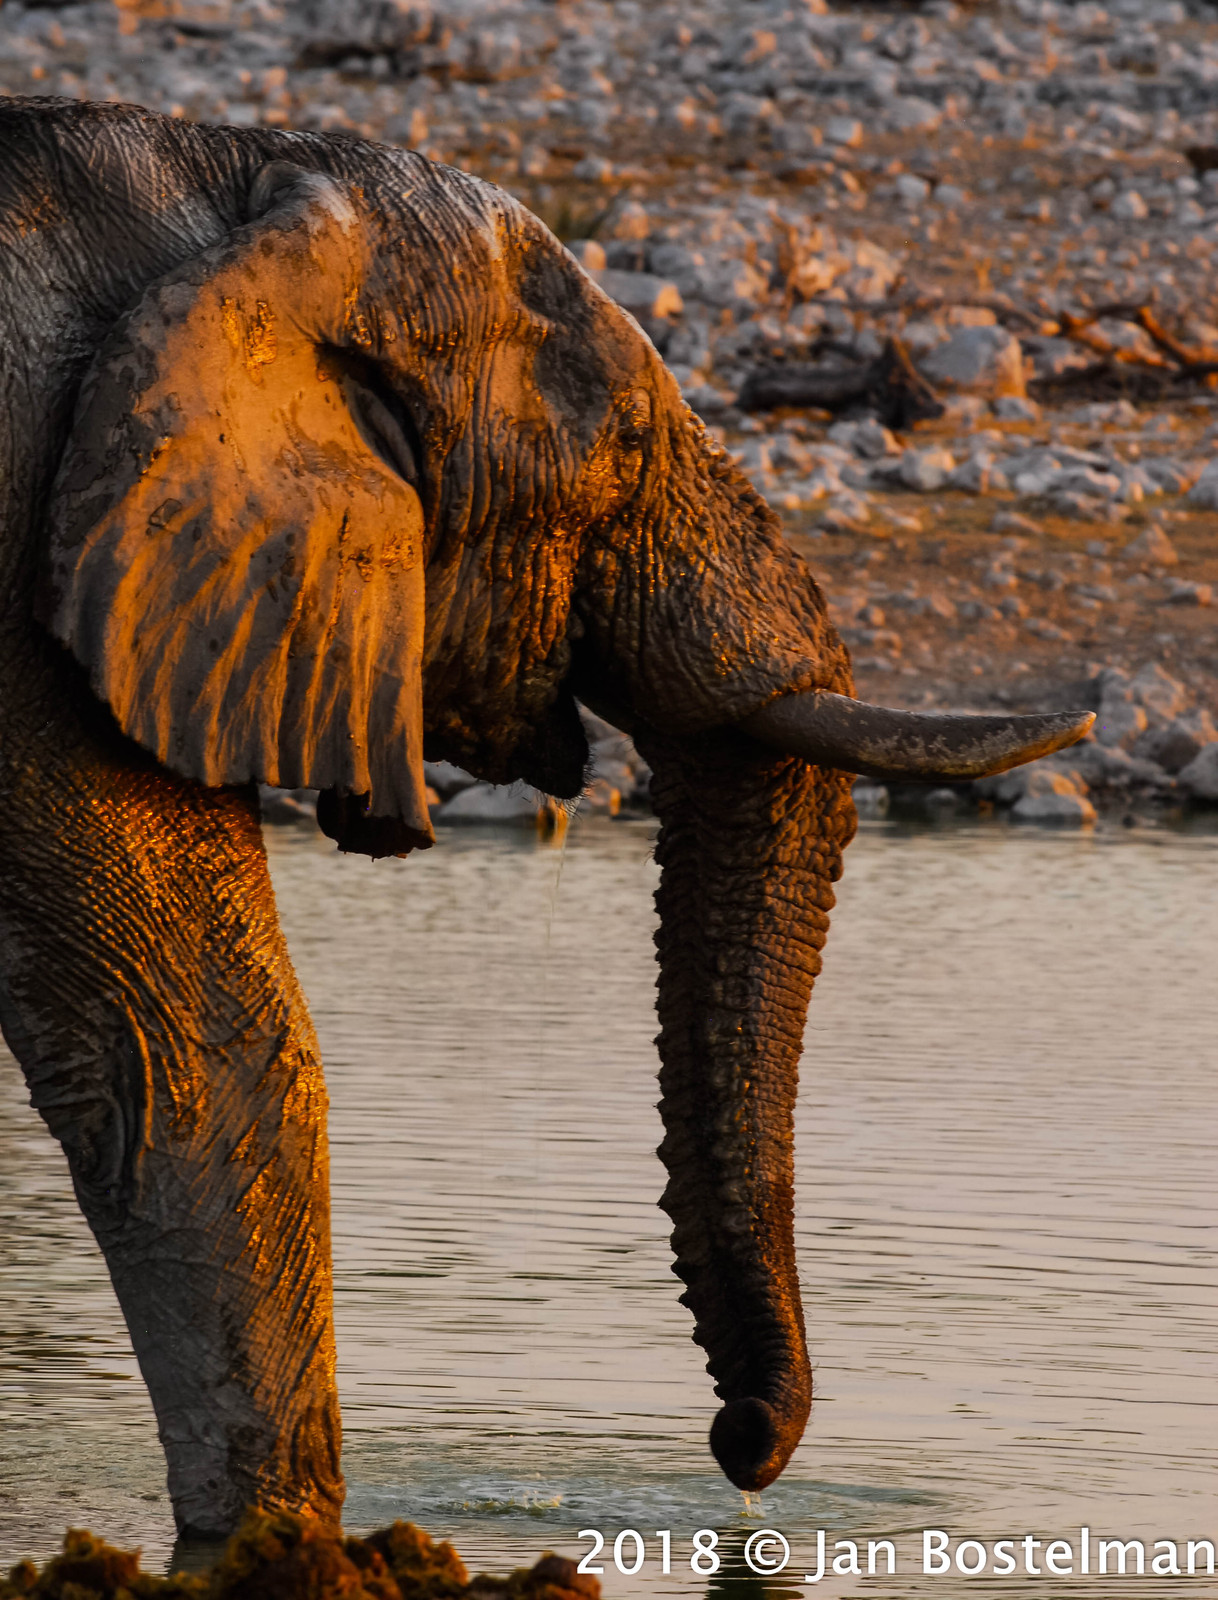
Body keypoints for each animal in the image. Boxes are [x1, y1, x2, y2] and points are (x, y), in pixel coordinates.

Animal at [0, 95, 1092, 1538]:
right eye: (622, 453)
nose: (742, 1447)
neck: (224, 183)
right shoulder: (38, 567)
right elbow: (191, 1055)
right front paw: (275, 1539)